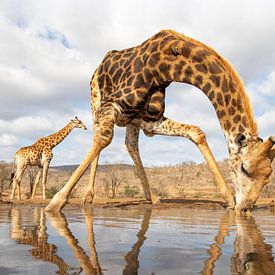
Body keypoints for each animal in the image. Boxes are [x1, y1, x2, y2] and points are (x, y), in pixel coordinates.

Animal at [46, 30, 274, 216]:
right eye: (244, 168)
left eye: (268, 176)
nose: (246, 208)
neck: (165, 66)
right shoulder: (112, 103)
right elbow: (103, 138)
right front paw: (55, 203)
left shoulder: (150, 120)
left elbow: (196, 131)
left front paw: (228, 198)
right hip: (96, 101)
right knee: (100, 138)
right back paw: (88, 196)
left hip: (131, 118)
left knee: (131, 145)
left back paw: (152, 197)